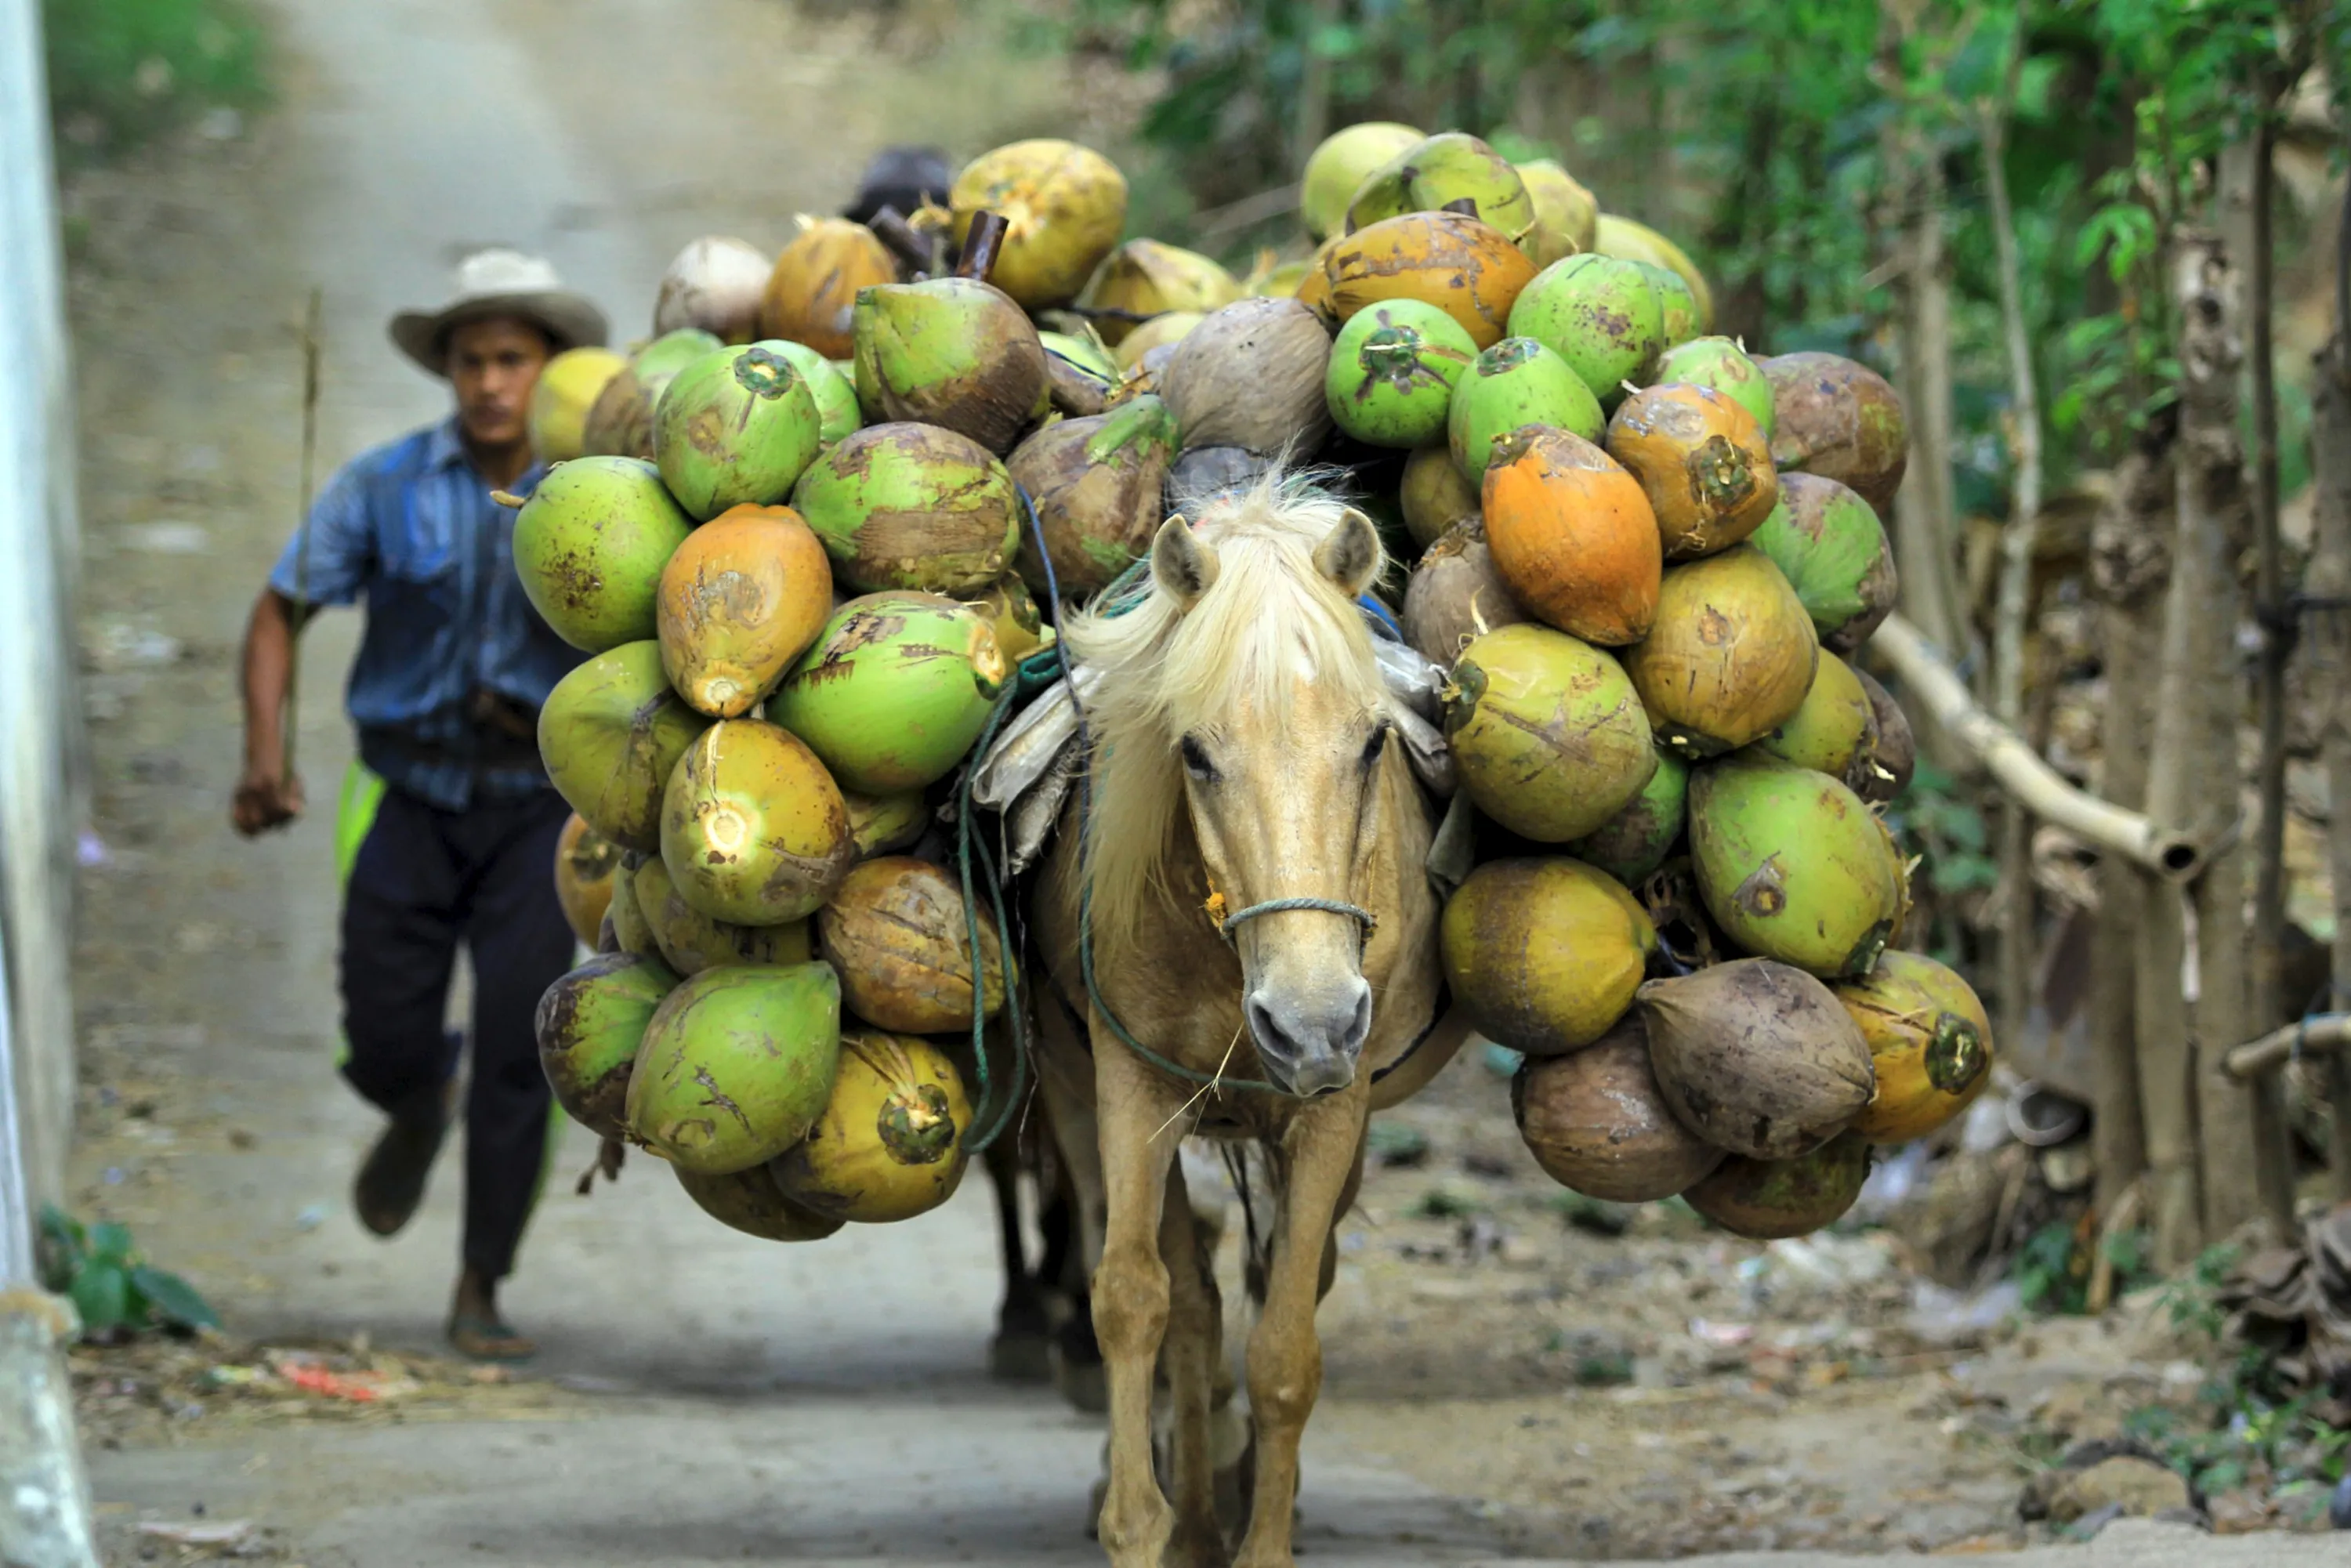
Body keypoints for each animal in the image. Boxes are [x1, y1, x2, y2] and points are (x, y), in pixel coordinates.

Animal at [1025, 480, 1448, 1568]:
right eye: (1196, 753)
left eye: (1373, 742)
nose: (1309, 1024)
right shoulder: (1132, 1085)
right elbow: (1137, 1299)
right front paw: (1146, 1525)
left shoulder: (1336, 1108)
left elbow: (1285, 1345)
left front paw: (1263, 1534)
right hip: (1083, 1099)